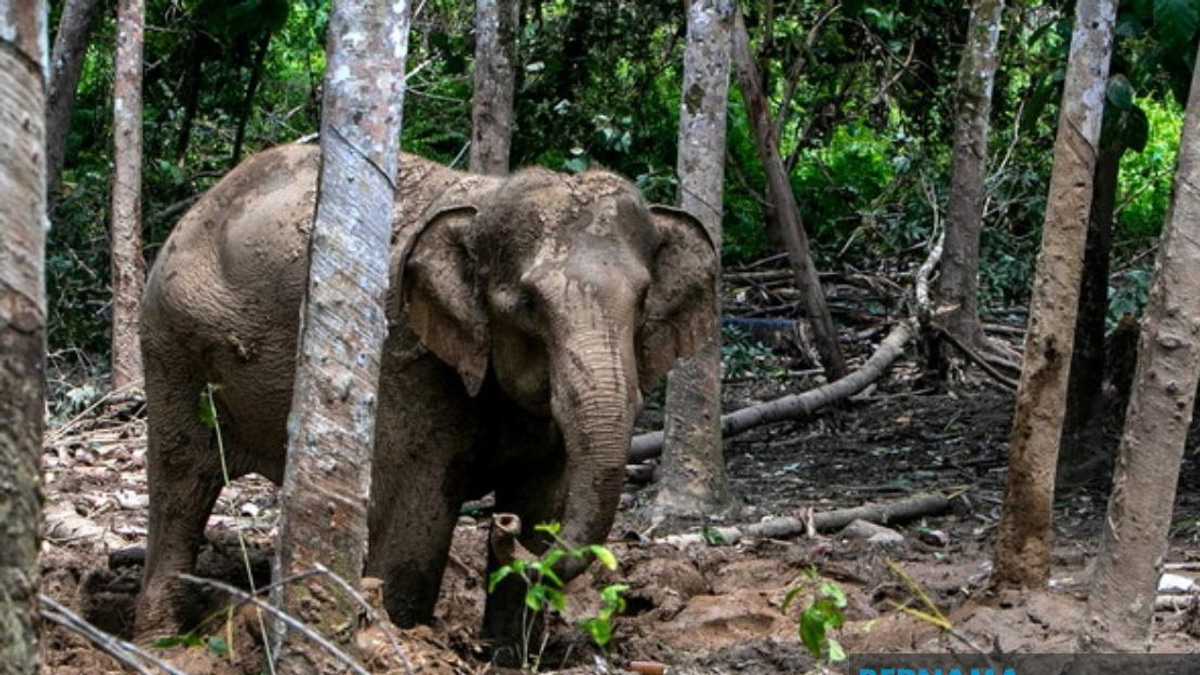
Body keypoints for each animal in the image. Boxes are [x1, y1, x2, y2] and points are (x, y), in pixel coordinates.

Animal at [134, 141, 717, 654]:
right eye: (527, 304)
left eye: (643, 299)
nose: (502, 527)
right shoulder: (404, 357)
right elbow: (417, 518)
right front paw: (400, 635)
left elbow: (542, 498)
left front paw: (505, 655)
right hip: (172, 346)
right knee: (181, 484)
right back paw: (160, 640)